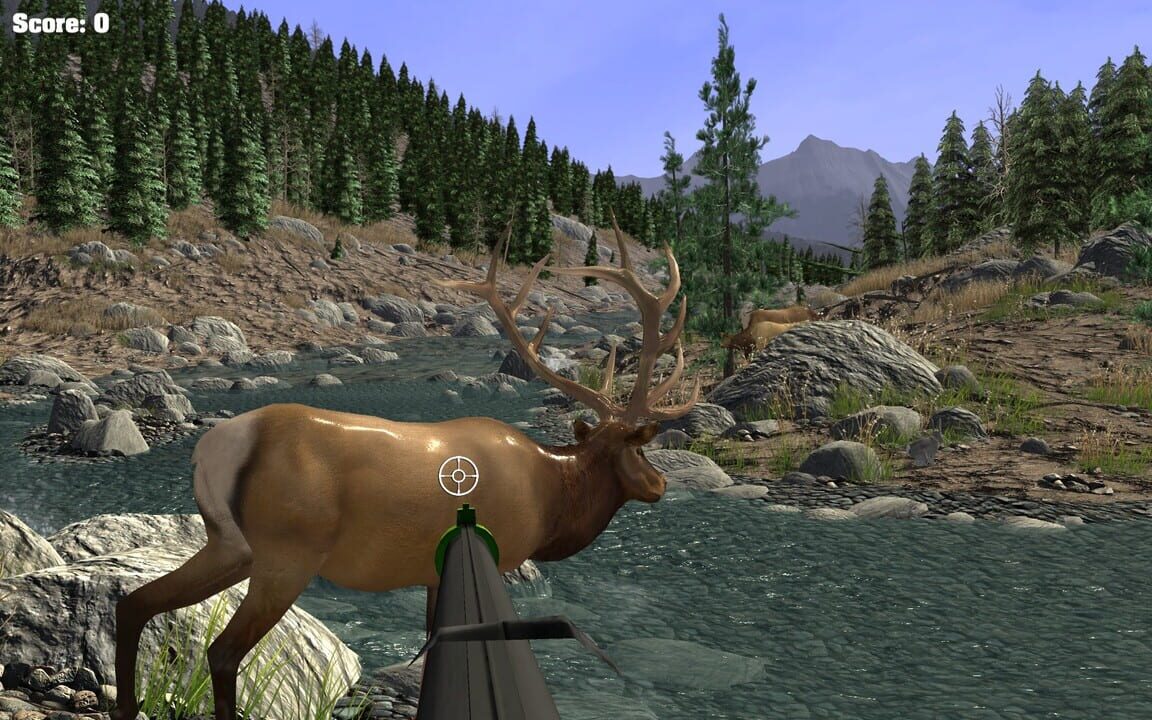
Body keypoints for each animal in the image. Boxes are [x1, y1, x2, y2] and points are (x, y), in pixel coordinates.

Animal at [112, 222, 700, 720]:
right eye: (641, 448)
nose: (662, 484)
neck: (551, 498)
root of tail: (214, 449)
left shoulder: (435, 570)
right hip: (287, 553)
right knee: (222, 651)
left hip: (231, 546)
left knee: (134, 601)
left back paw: (126, 706)